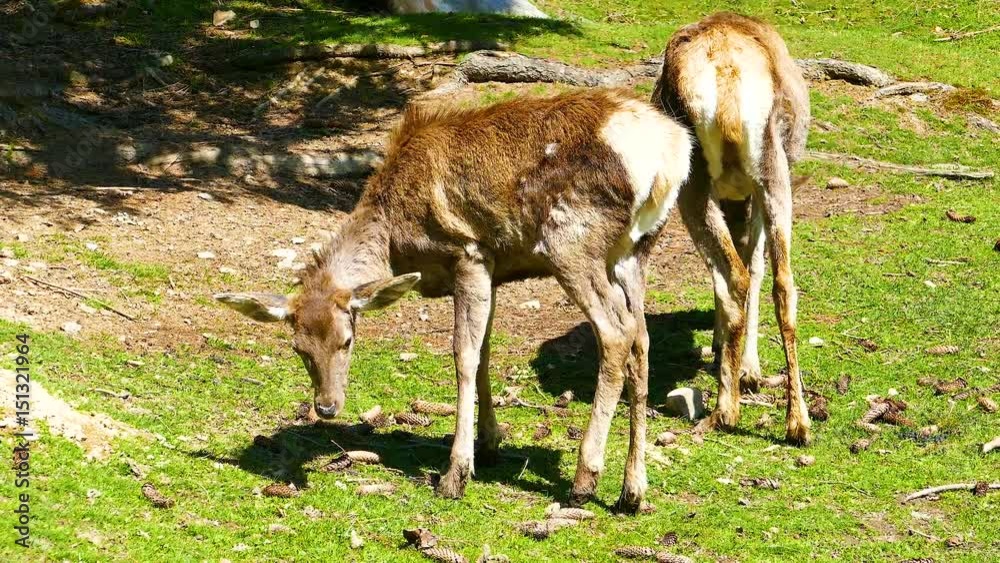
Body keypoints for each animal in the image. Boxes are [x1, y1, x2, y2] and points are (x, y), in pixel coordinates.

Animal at [215, 89, 692, 512]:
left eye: (347, 341)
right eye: (298, 347)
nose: (326, 406)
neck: (395, 238)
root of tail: (673, 154)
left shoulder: (468, 251)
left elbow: (463, 353)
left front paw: (456, 473)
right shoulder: (493, 268)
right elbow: (484, 351)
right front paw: (490, 443)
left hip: (573, 242)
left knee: (616, 333)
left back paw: (584, 478)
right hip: (635, 252)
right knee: (642, 340)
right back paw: (633, 490)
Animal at [656, 12, 812, 446]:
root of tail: (725, 76)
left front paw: (737, 361)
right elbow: (751, 266)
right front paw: (745, 367)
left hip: (702, 183)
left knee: (745, 276)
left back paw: (738, 409)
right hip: (772, 172)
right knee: (774, 280)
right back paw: (790, 421)